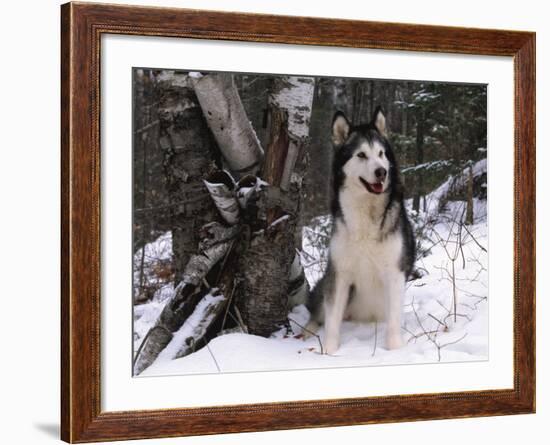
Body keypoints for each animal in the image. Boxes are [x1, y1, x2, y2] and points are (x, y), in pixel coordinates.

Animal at [304, 106, 416, 352]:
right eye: (361, 155)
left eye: (381, 154)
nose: (382, 172)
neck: (366, 214)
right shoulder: (339, 273)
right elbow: (332, 319)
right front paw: (329, 351)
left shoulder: (395, 272)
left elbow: (394, 321)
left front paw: (394, 348)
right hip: (329, 285)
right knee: (317, 313)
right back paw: (306, 331)